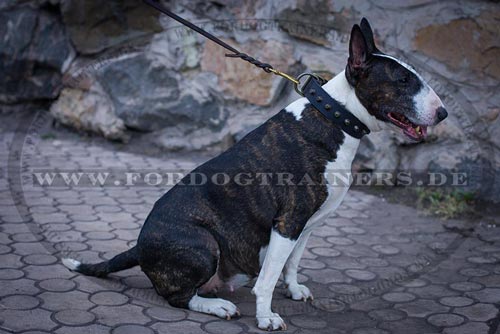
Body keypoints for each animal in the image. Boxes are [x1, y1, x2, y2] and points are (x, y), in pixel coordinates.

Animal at [60, 18, 448, 332]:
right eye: (402, 80)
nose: (443, 113)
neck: (335, 115)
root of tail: (139, 248)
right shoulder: (288, 221)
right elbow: (268, 277)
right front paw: (267, 317)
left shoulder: (306, 225)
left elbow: (291, 264)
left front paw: (294, 290)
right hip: (203, 243)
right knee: (177, 297)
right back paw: (217, 305)